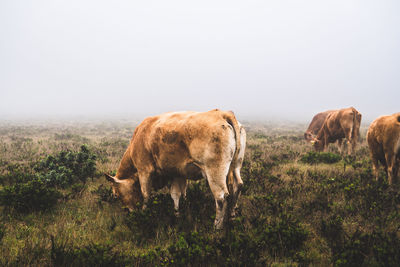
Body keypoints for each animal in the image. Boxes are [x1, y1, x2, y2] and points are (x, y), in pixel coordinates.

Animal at [104, 109, 245, 230]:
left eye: (116, 195)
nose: (128, 212)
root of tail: (223, 114)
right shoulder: (178, 173)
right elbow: (177, 194)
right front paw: (177, 214)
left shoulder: (144, 170)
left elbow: (146, 194)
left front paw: (144, 214)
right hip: (236, 166)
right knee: (237, 186)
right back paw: (232, 216)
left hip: (214, 172)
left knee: (221, 197)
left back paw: (217, 226)